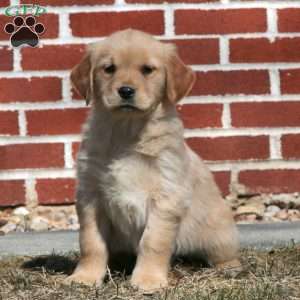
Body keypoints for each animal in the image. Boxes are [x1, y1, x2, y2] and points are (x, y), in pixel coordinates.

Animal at [67, 29, 240, 292]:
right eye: (109, 68)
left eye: (147, 69)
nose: (126, 91)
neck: (127, 133)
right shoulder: (90, 194)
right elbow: (91, 241)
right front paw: (84, 277)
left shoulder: (165, 196)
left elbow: (152, 241)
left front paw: (148, 280)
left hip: (218, 229)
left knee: (225, 252)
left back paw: (229, 267)